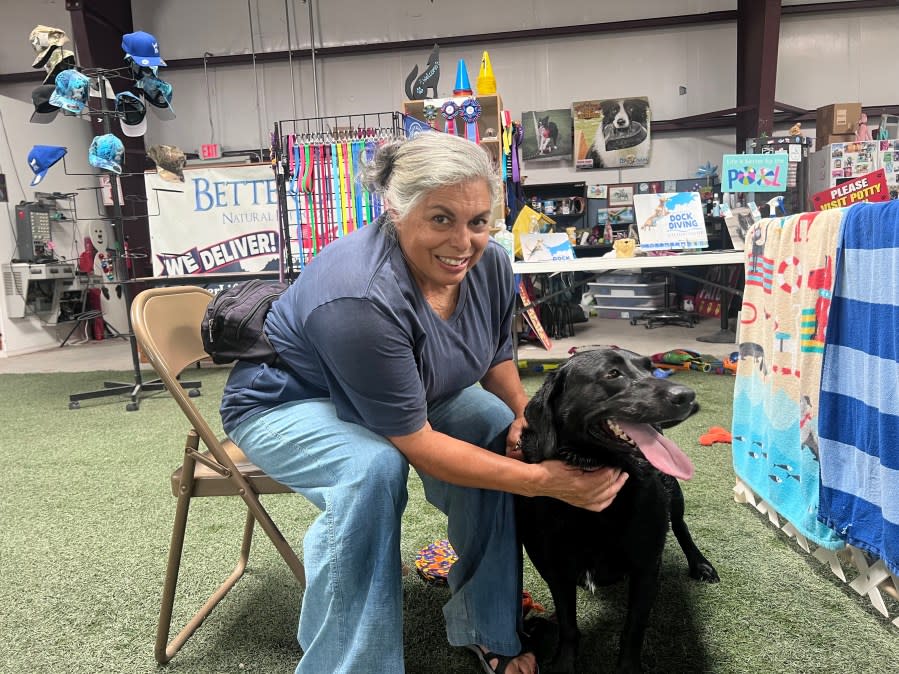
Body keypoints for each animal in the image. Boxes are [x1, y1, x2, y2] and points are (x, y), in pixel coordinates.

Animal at [516, 346, 720, 672]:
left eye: (650, 369)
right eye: (612, 374)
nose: (688, 396)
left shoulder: (646, 569)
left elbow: (633, 629)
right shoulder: (554, 571)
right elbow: (568, 626)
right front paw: (564, 663)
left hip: (674, 494)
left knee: (681, 528)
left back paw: (700, 564)